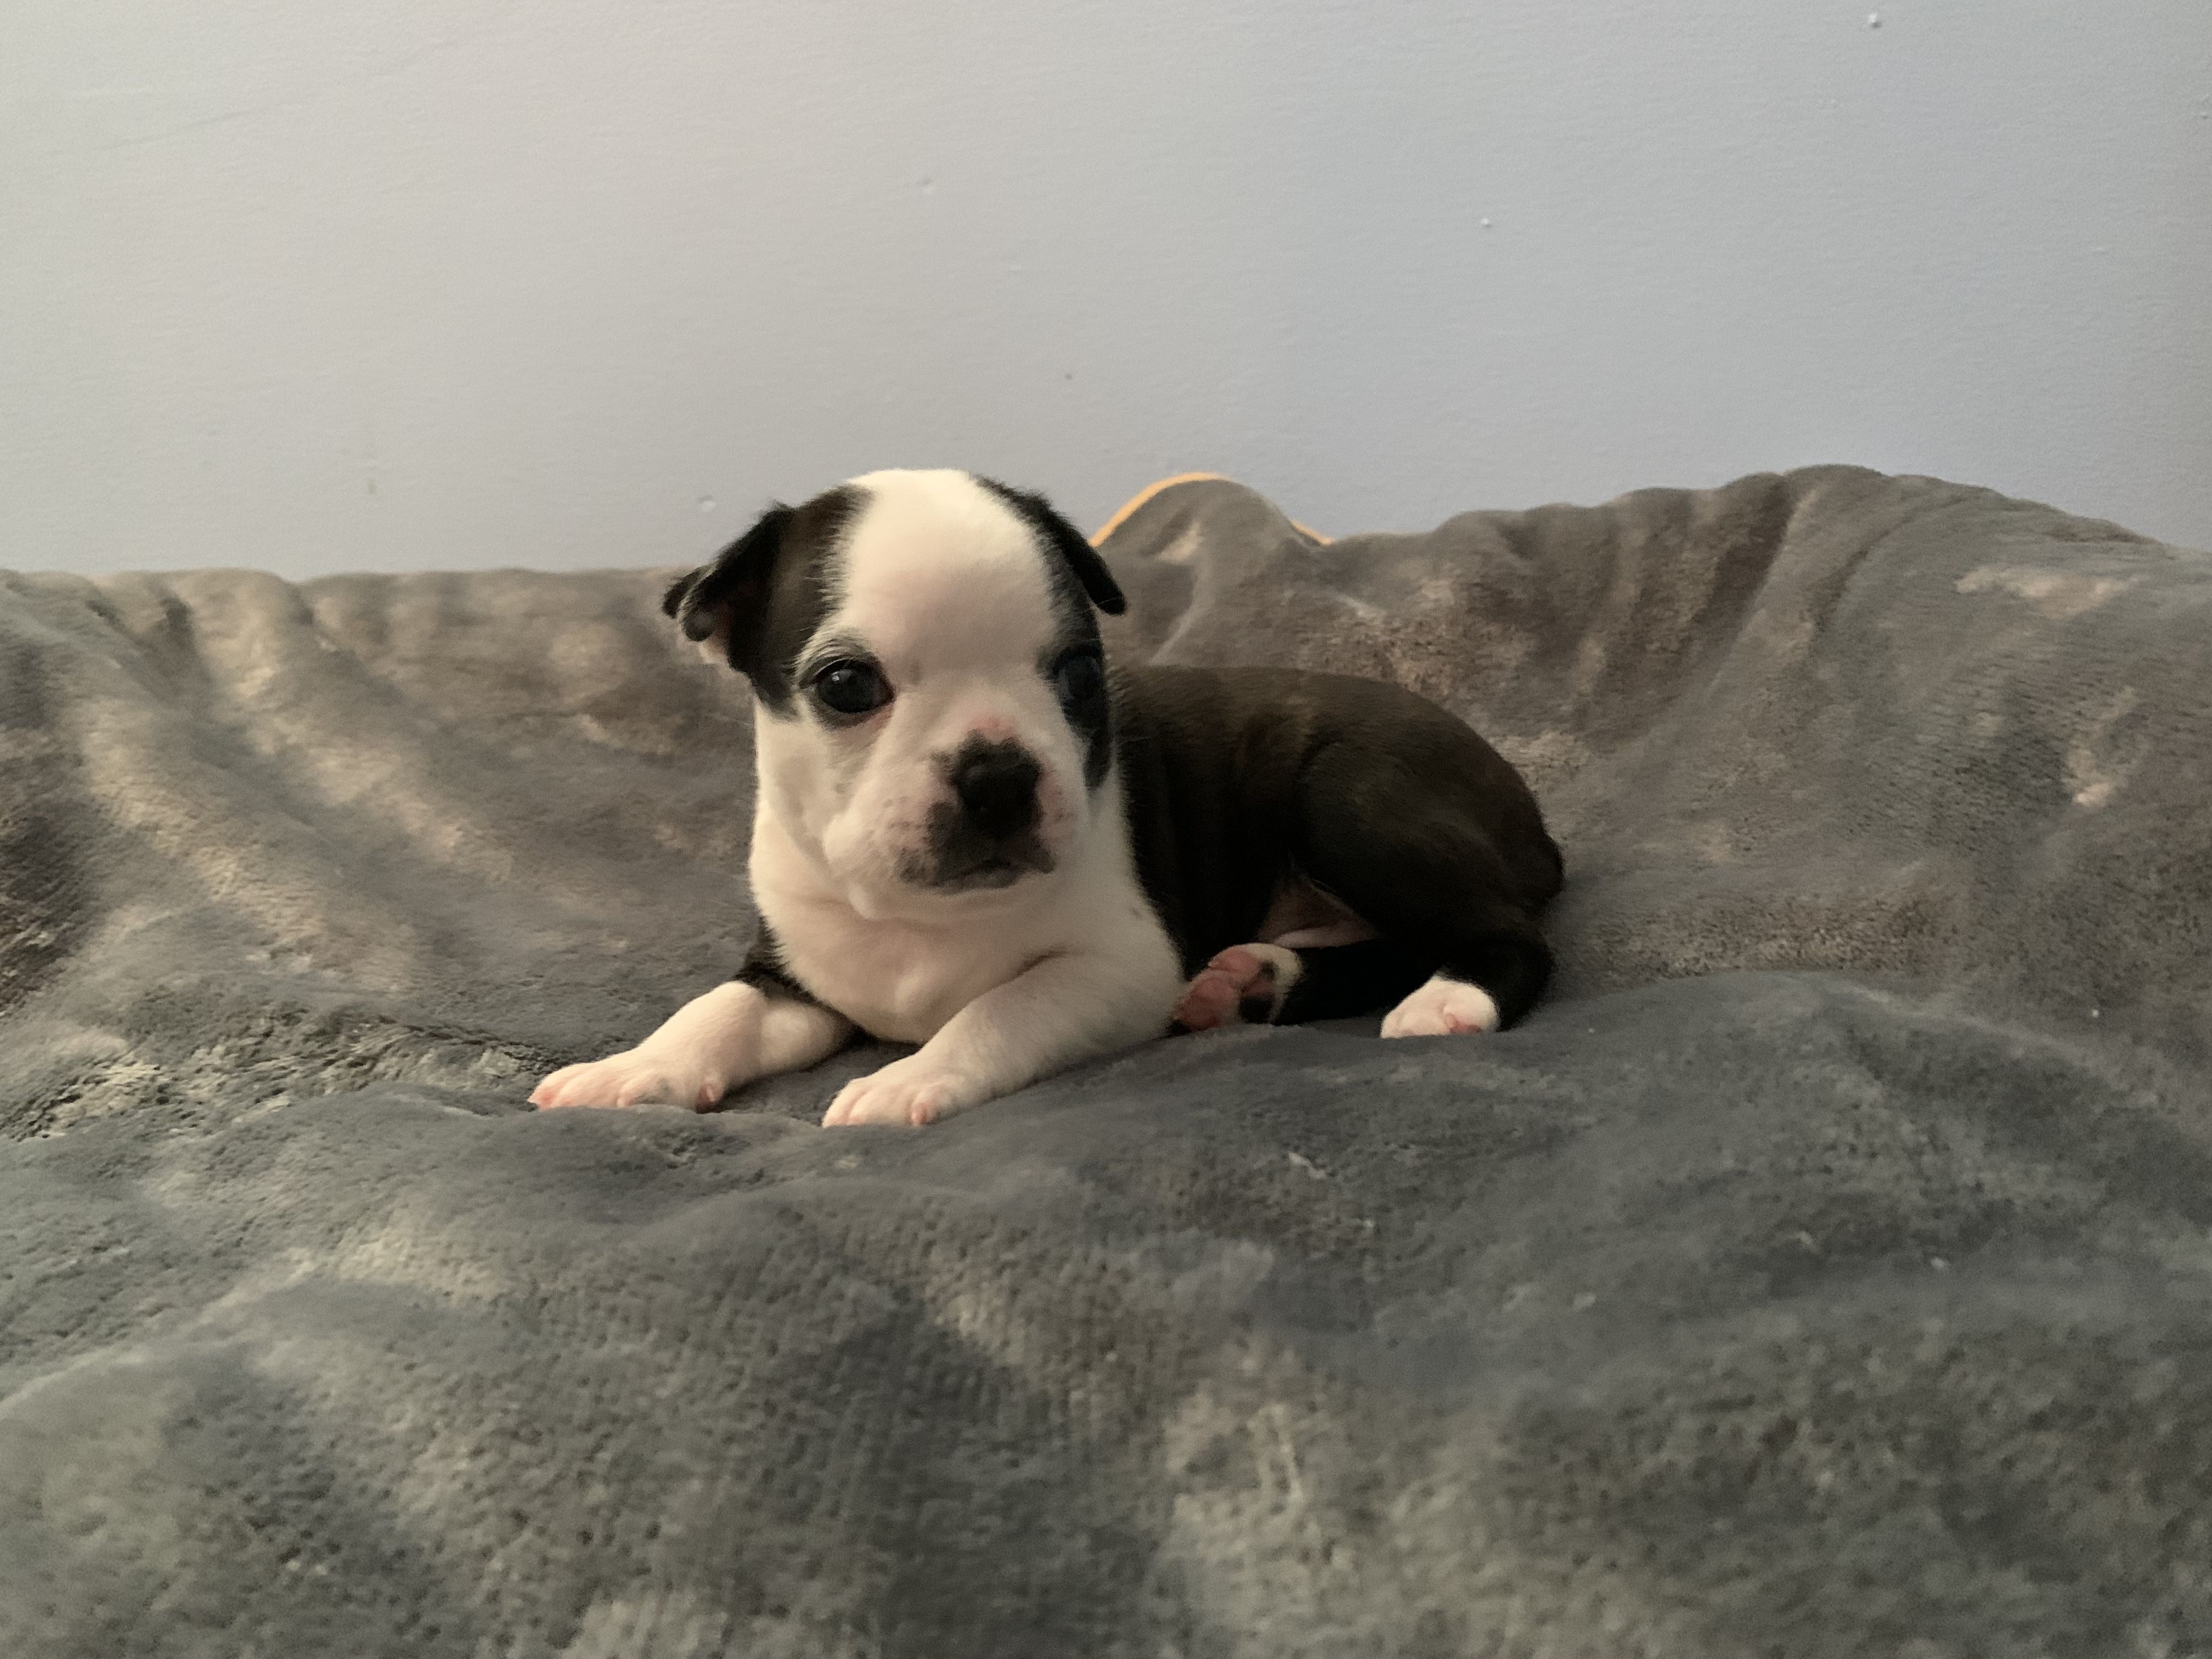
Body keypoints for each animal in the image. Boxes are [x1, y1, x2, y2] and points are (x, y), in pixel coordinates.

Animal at [530, 469, 1563, 1127]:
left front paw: (911, 1078)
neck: (922, 913)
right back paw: (1253, 980)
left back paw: (1449, 1000)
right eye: (846, 686)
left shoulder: (1118, 965)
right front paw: (631, 1069)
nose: (998, 771)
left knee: (1502, 937)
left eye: (1077, 674)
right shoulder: (796, 975)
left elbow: (1000, 1007)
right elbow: (717, 1011)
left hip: (1344, 792)